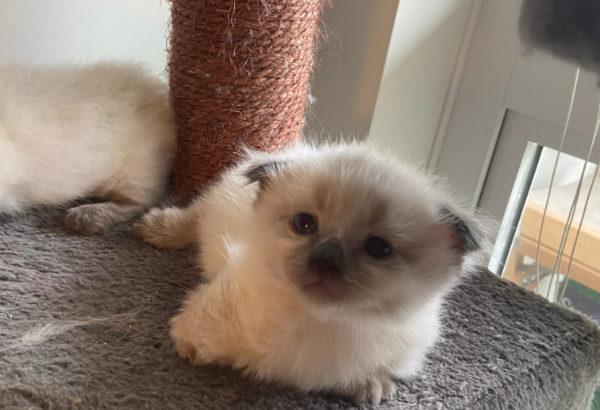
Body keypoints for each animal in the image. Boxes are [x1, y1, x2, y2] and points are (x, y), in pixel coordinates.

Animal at [136, 143, 488, 406]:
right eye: (304, 224)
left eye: (378, 248)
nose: (324, 260)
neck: (318, 320)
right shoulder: (207, 315)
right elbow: (191, 342)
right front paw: (193, 353)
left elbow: (362, 376)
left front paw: (368, 386)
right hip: (211, 206)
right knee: (194, 217)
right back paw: (157, 229)